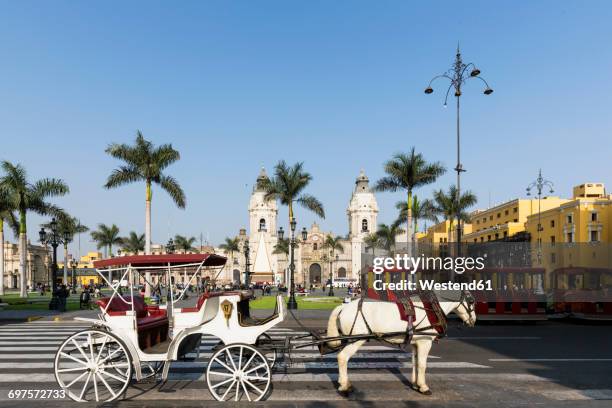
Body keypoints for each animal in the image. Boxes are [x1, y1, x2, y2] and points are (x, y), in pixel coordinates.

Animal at [328, 290, 476, 396]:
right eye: (471, 301)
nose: (473, 321)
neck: (430, 308)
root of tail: (343, 307)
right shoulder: (425, 342)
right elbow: (422, 365)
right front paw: (423, 387)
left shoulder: (416, 343)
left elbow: (415, 363)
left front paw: (416, 384)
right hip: (356, 340)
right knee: (342, 357)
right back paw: (344, 386)